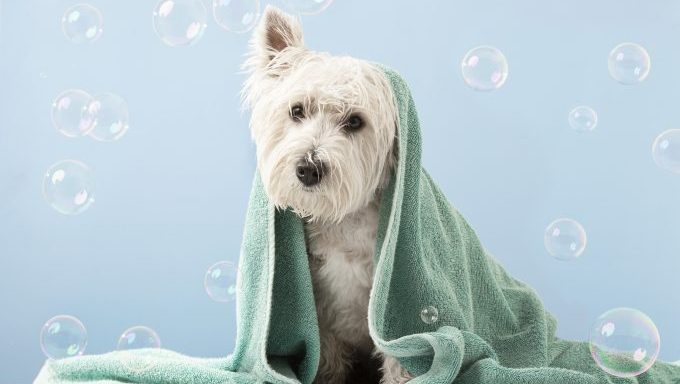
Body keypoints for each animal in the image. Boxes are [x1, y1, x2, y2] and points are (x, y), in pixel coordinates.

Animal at [244, 6, 412, 384]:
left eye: (355, 121)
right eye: (296, 111)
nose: (308, 169)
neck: (343, 221)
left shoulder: (389, 310)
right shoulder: (319, 309)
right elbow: (327, 357)